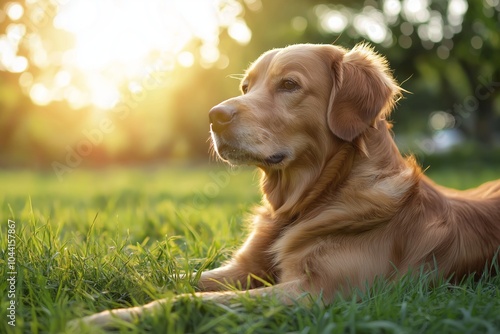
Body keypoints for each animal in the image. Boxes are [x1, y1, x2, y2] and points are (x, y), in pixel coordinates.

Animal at [75, 43, 500, 328]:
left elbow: (183, 300)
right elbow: (172, 277)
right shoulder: (244, 268)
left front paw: (102, 317)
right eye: (246, 87)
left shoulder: (316, 293)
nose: (214, 116)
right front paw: (105, 280)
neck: (307, 202)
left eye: (290, 85)